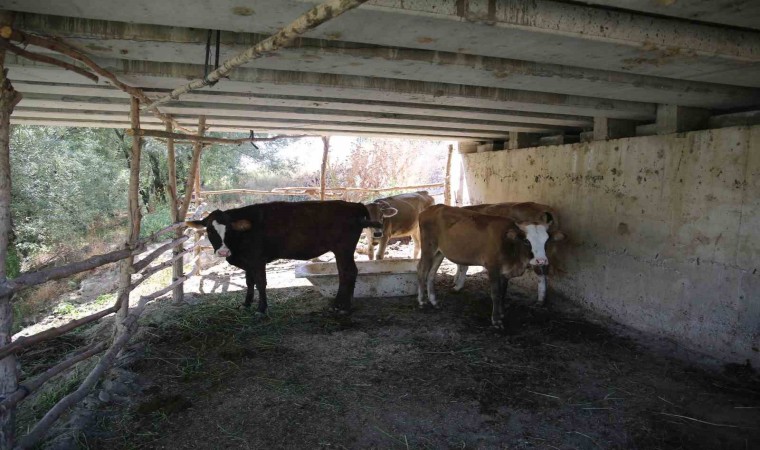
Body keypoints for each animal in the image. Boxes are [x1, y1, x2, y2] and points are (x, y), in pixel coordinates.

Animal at [186, 201, 382, 315]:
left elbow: (261, 283)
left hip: (343, 248)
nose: (223, 252)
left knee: (348, 272)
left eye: (229, 229)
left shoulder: (257, 260)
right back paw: (342, 304)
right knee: (345, 272)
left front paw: (261, 309)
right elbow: (249, 283)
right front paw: (246, 304)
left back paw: (342, 306)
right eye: (209, 230)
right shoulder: (248, 262)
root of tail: (355, 204)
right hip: (341, 250)